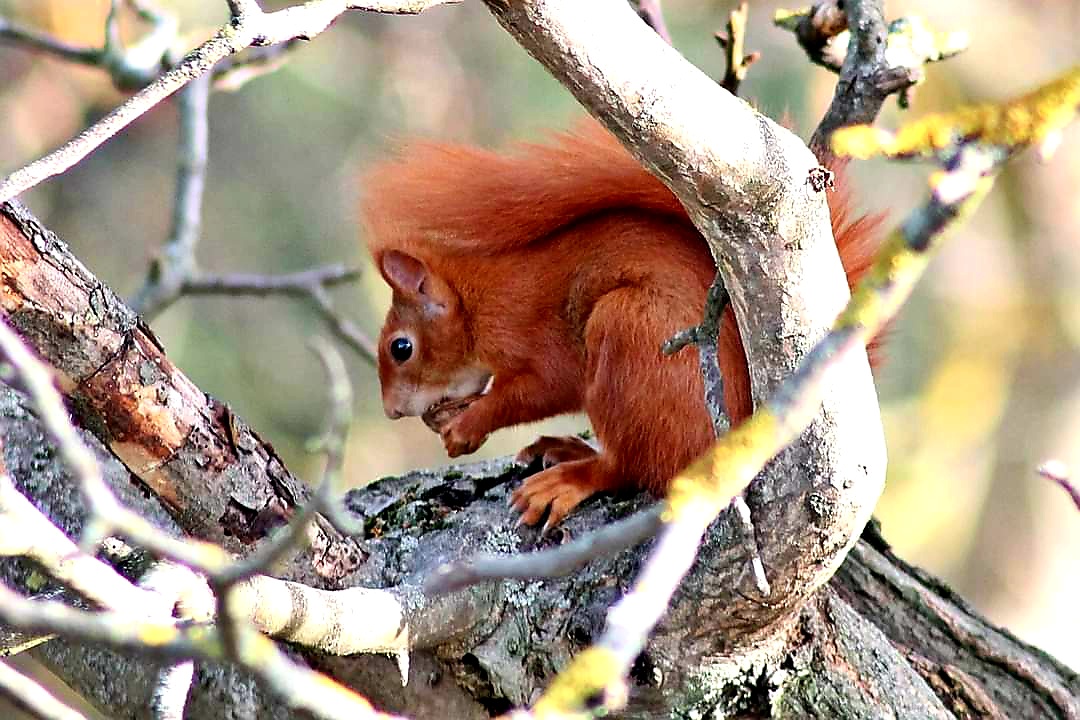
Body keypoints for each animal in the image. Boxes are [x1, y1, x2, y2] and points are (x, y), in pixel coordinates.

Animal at [362, 119, 885, 528]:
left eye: (400, 348)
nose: (390, 411)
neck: (479, 300)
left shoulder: (529, 328)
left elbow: (544, 387)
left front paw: (468, 423)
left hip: (629, 334)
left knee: (632, 467)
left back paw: (572, 476)